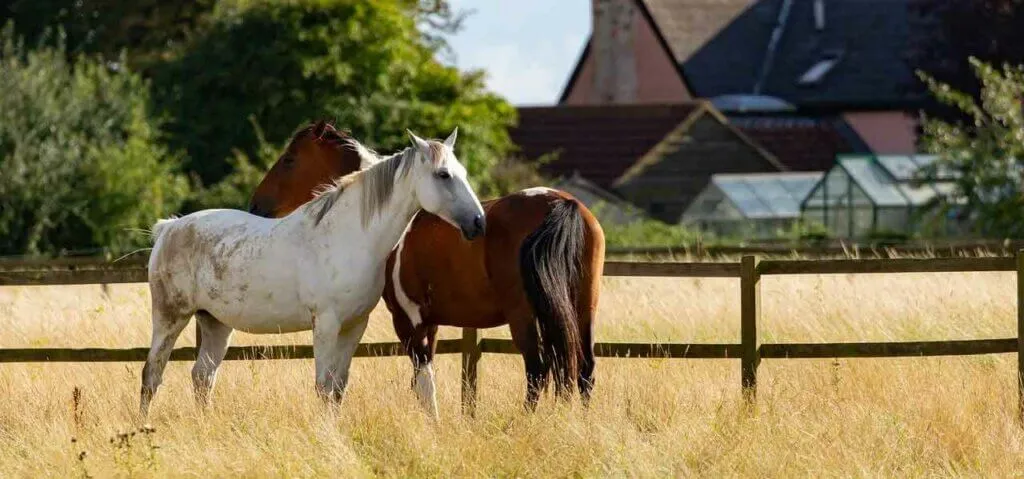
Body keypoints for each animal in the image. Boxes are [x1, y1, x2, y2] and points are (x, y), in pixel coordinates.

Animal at [141, 128, 485, 416]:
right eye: (443, 174)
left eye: (464, 173)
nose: (478, 222)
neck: (350, 236)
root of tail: (169, 228)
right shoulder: (326, 325)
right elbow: (323, 387)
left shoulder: (354, 326)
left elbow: (338, 388)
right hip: (170, 318)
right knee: (152, 374)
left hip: (215, 324)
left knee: (202, 376)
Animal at [249, 122, 605, 416]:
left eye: (289, 160)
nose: (257, 205)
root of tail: (563, 204)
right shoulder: (429, 321)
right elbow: (422, 381)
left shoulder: (408, 320)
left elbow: (423, 380)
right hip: (582, 306)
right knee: (583, 369)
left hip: (524, 314)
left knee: (537, 369)